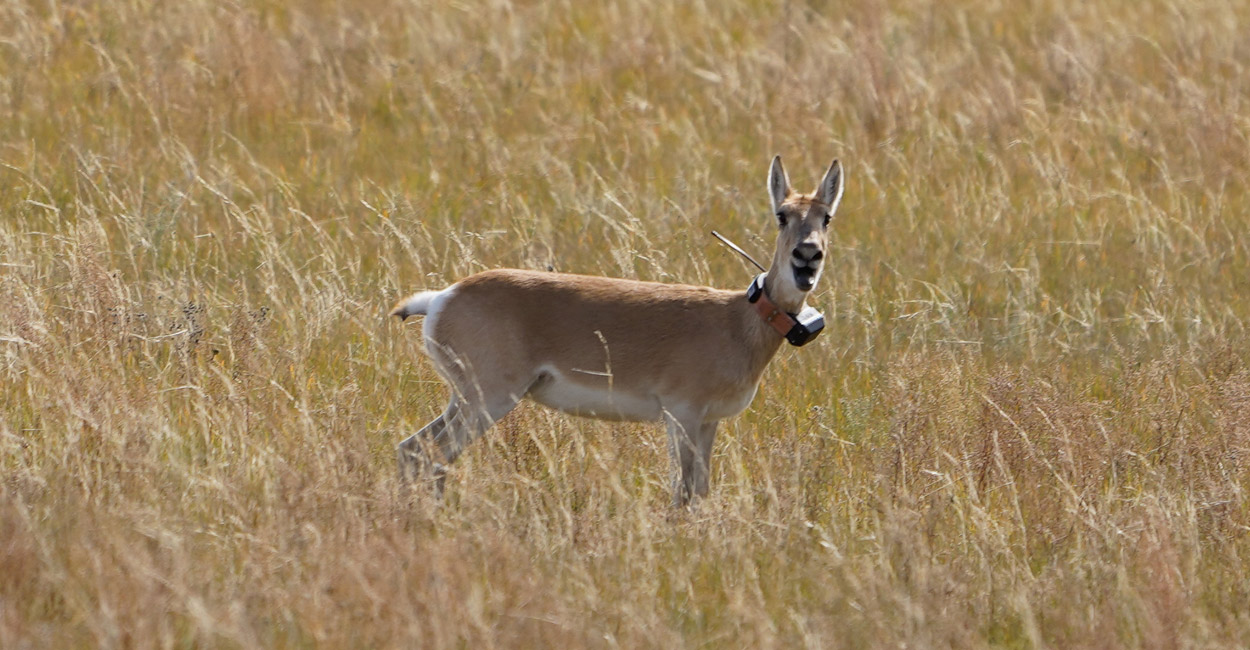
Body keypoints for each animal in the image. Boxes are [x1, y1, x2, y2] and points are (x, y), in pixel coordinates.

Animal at [391, 156, 843, 505]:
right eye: (782, 215)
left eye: (826, 216)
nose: (807, 256)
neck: (736, 321)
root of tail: (442, 297)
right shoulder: (681, 415)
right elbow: (682, 493)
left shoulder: (709, 422)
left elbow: (700, 491)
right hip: (488, 400)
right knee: (432, 455)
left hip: (465, 400)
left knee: (412, 449)